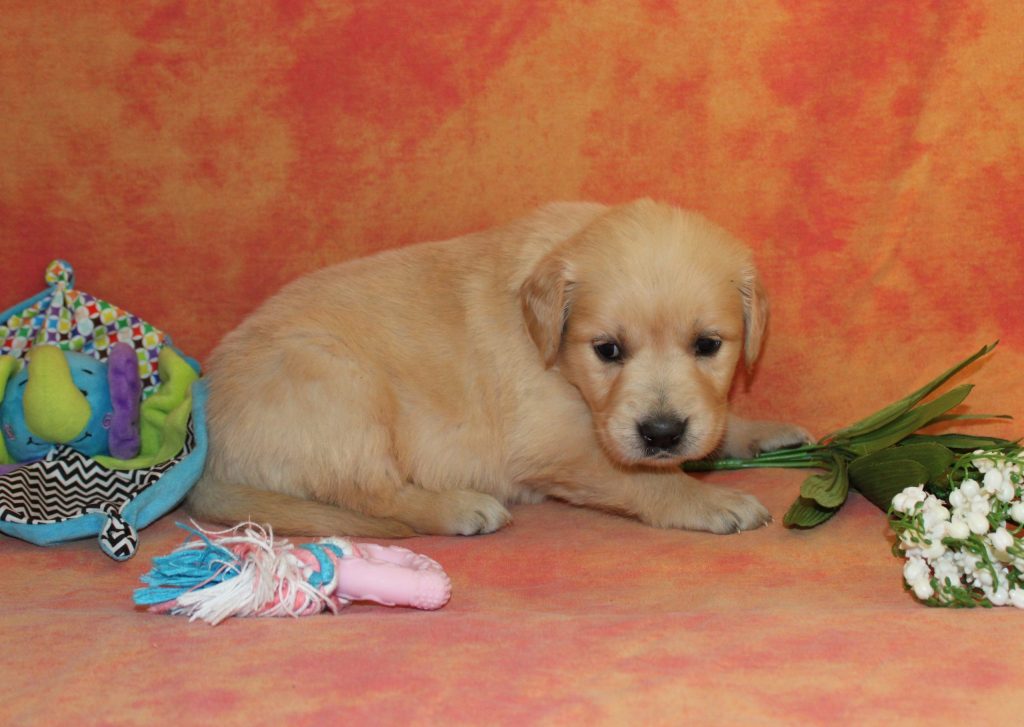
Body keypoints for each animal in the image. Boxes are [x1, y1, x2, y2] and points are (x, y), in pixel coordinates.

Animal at [187, 200, 810, 537]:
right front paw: (709, 500)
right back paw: (459, 506)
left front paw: (762, 431)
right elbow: (641, 477)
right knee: (371, 494)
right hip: (339, 385)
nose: (662, 433)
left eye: (708, 345)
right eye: (607, 350)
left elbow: (715, 423)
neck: (557, 359)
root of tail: (210, 453)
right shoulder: (554, 446)